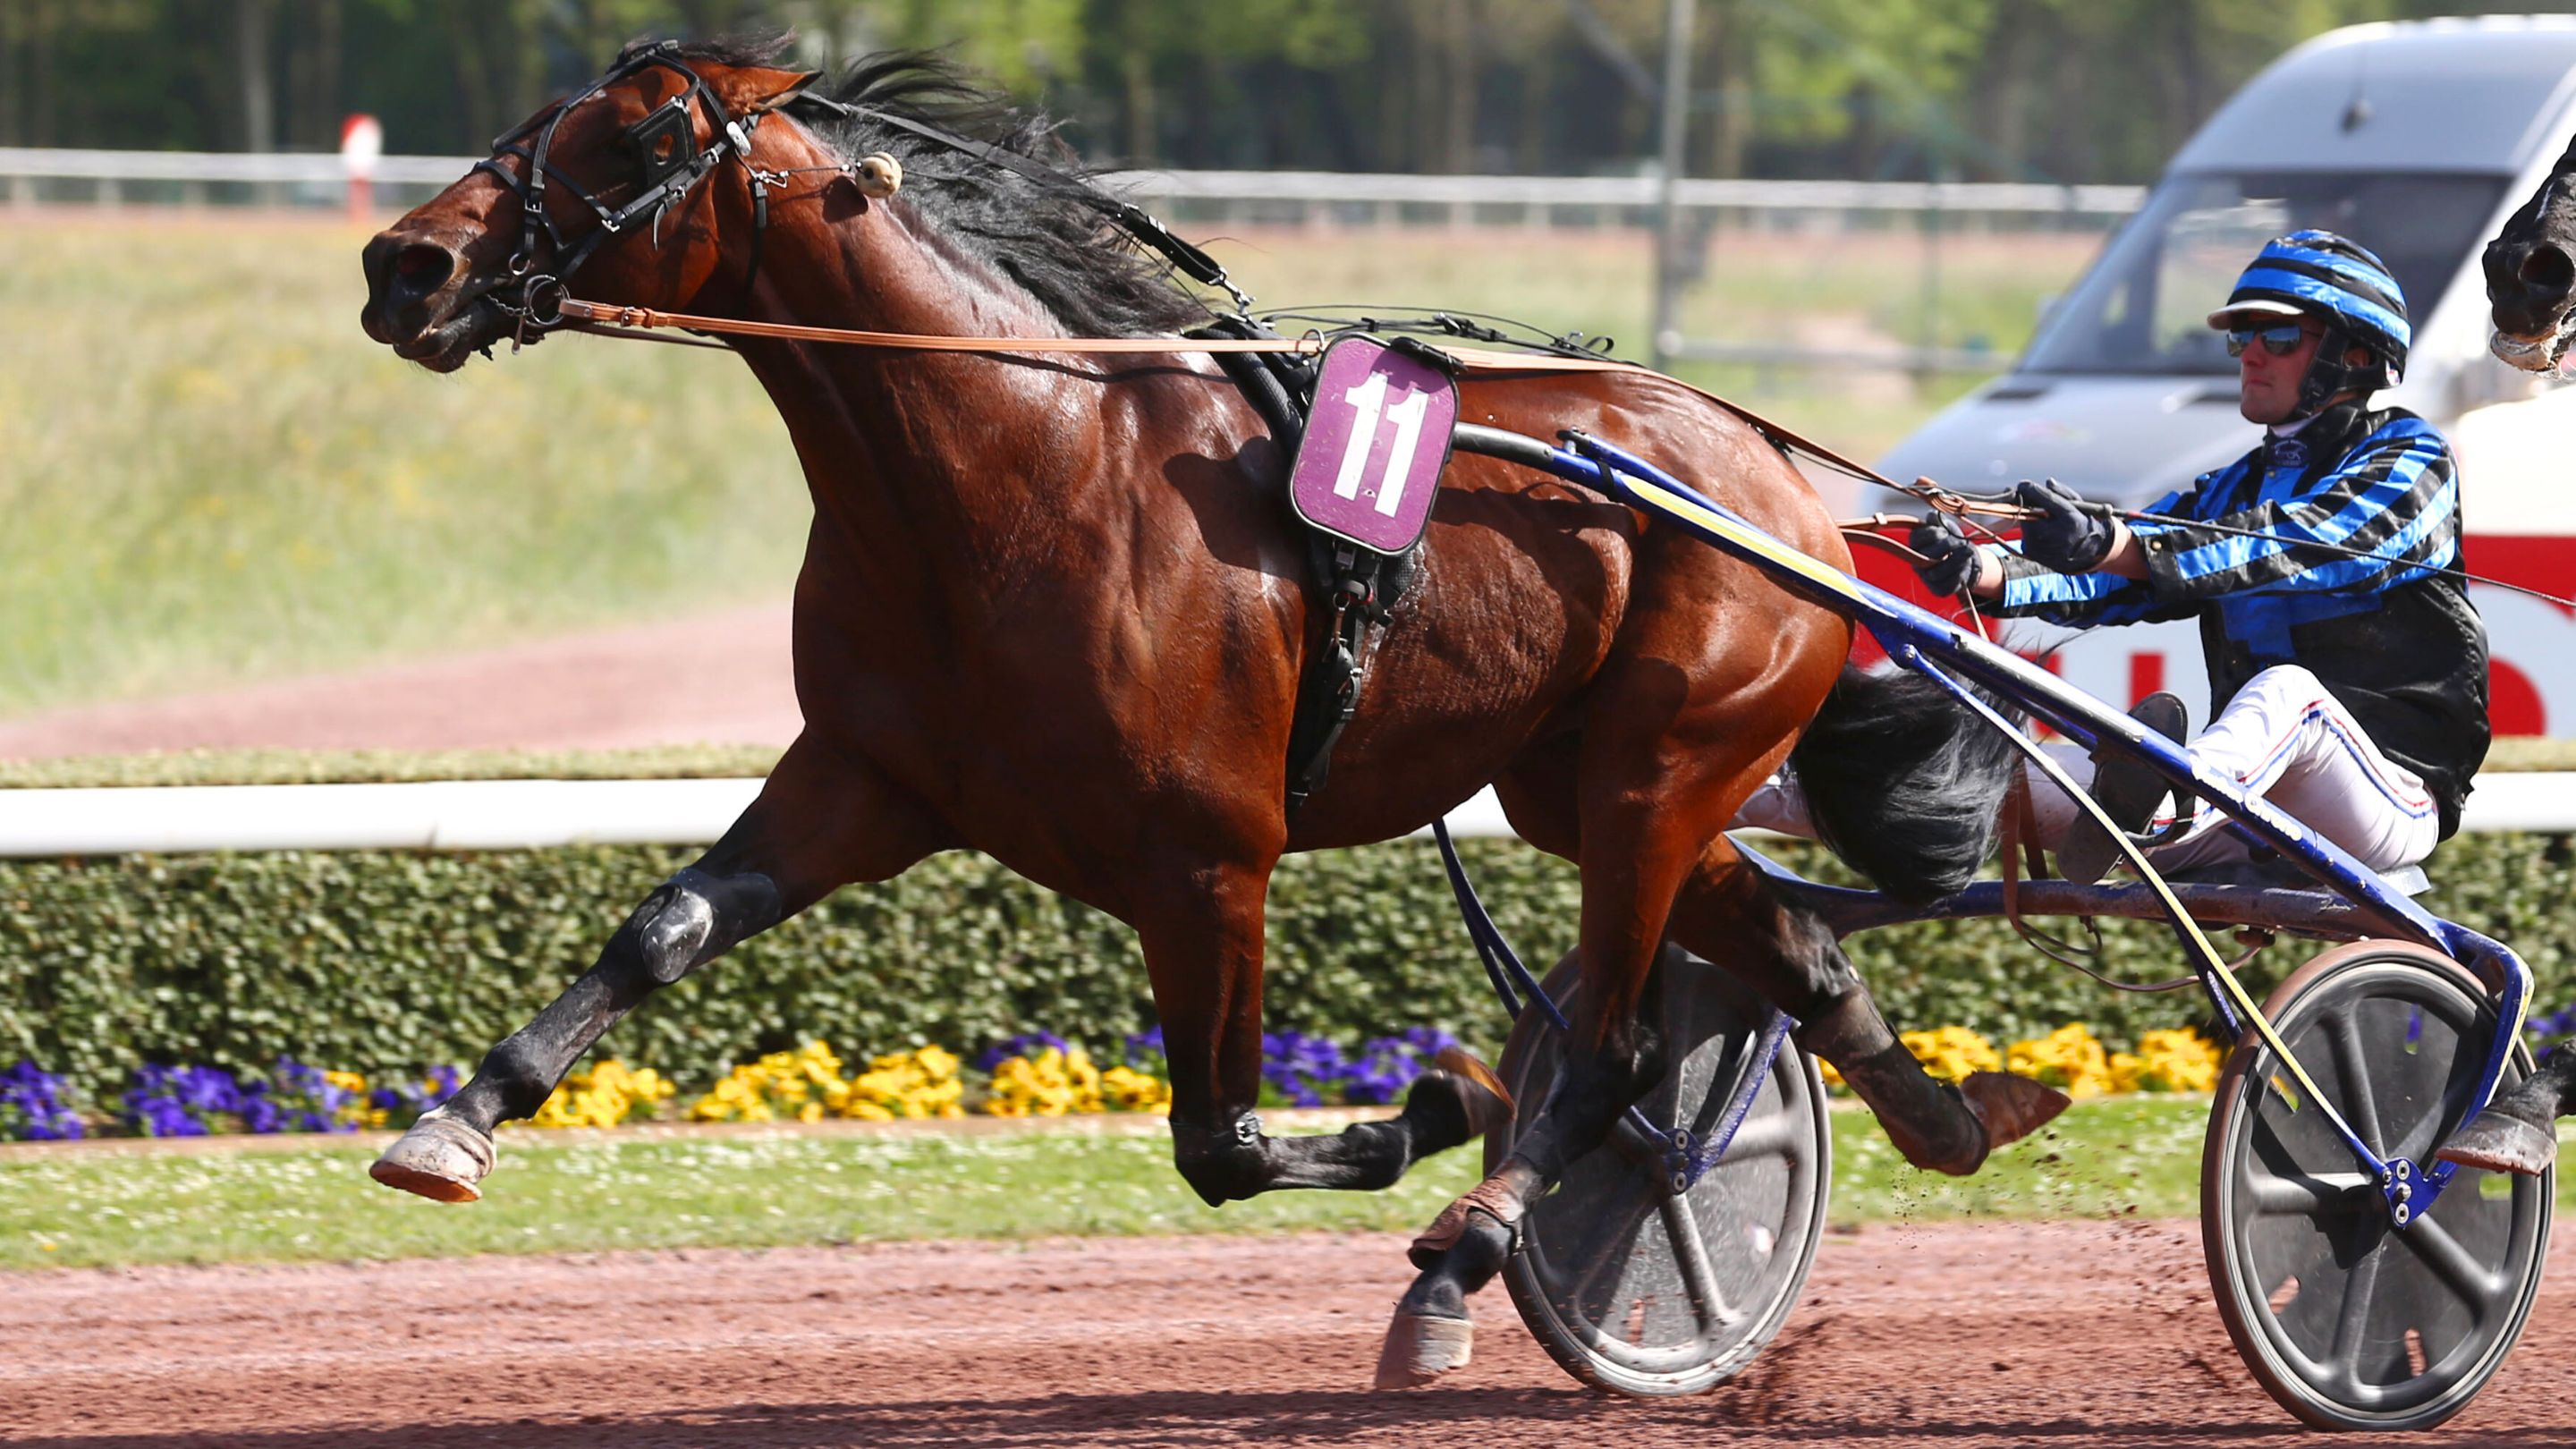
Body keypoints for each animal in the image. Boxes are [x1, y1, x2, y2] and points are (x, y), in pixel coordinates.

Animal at [355, 36, 2061, 1385]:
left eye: (638, 137)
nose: (402, 267)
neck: (1016, 469)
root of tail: (1796, 492)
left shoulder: (1207, 862)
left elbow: (1223, 1143)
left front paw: (1431, 1103)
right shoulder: (870, 775)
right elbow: (666, 927)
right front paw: (458, 1121)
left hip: (1662, 762)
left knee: (1620, 1049)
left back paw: (1464, 1264)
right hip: (1586, 782)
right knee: (1786, 951)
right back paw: (1948, 1118)